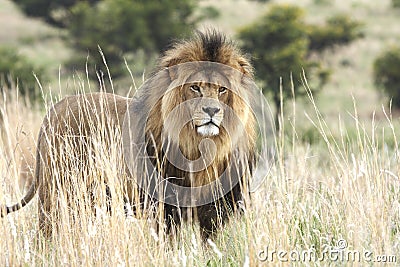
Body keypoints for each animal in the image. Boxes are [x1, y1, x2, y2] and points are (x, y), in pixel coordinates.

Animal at [0, 30, 256, 240]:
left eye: (222, 90)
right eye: (195, 87)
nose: (211, 110)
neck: (201, 146)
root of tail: (55, 109)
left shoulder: (213, 210)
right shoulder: (166, 207)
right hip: (57, 189)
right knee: (46, 231)